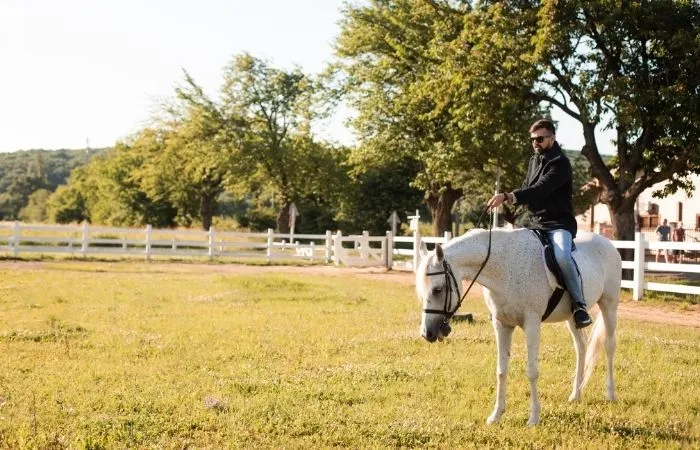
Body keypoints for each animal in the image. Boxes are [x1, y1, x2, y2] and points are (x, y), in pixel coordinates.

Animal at [412, 229, 620, 426]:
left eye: (438, 289)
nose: (427, 333)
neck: (504, 268)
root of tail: (607, 243)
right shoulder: (502, 325)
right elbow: (501, 370)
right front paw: (496, 415)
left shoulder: (532, 323)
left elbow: (532, 371)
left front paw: (534, 418)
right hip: (571, 317)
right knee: (581, 348)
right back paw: (575, 394)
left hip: (609, 304)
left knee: (609, 346)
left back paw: (610, 394)